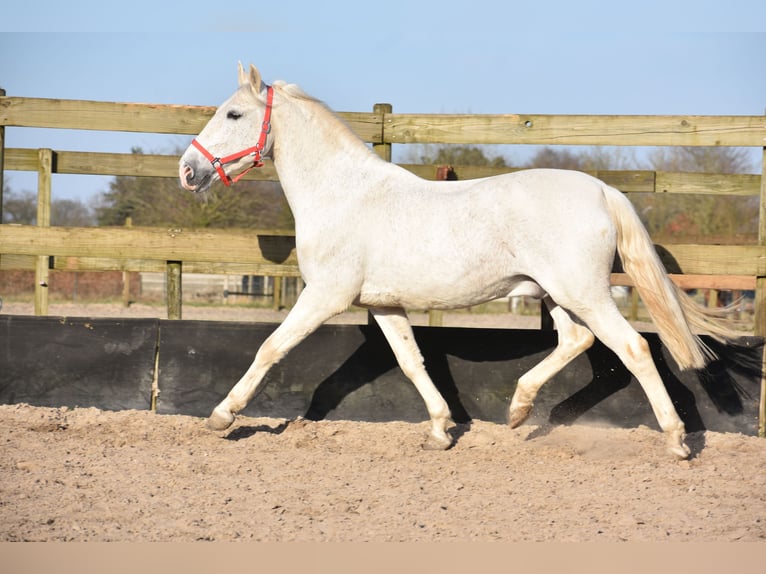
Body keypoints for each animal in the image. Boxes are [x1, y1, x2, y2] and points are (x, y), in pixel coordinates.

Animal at [178, 64, 736, 460]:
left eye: (233, 115)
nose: (188, 170)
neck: (344, 195)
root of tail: (602, 190)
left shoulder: (325, 296)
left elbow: (271, 348)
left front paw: (222, 416)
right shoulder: (384, 305)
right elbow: (411, 361)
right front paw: (441, 430)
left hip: (586, 293)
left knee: (634, 348)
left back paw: (676, 441)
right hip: (558, 294)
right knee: (575, 341)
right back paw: (518, 410)